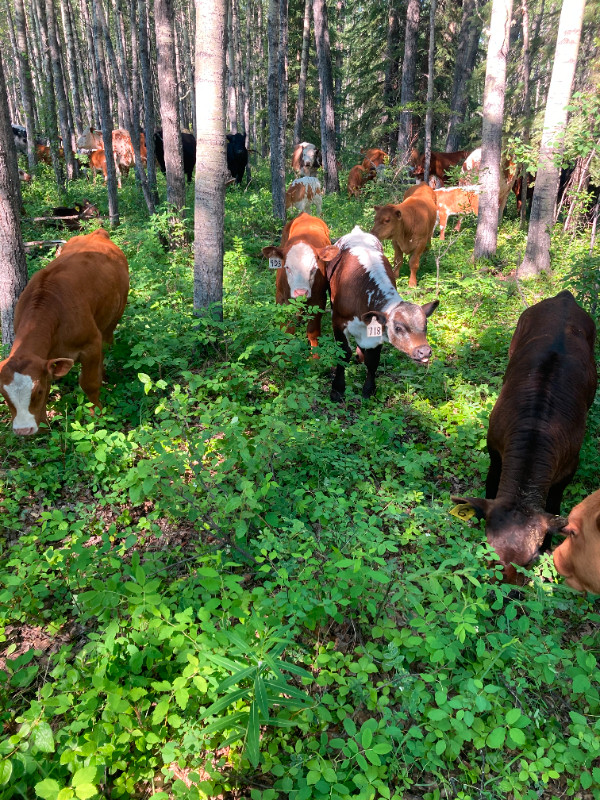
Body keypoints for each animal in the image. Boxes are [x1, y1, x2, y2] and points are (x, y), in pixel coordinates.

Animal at [0, 228, 129, 436]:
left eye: (37, 391)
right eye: (4, 395)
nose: (24, 430)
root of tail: (96, 233)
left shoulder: (91, 344)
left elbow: (89, 383)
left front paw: (98, 416)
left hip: (114, 316)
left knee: (107, 342)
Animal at [261, 213, 330, 352]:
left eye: (314, 268)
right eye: (287, 267)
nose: (301, 292)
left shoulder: (319, 299)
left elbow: (313, 333)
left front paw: (315, 356)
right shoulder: (281, 299)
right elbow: (287, 332)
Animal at [317, 226, 439, 401]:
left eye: (425, 325)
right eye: (398, 328)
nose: (424, 351)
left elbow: (373, 360)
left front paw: (369, 389)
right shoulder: (338, 322)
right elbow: (343, 354)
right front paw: (337, 389)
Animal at [453, 291, 597, 585]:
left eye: (530, 559)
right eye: (488, 552)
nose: (507, 590)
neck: (537, 429)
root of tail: (565, 297)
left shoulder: (570, 466)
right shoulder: (495, 449)